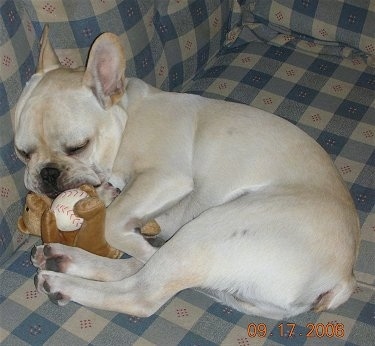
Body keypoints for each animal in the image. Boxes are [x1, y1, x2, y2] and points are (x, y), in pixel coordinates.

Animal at [12, 27, 362, 318]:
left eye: (78, 147)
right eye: (22, 153)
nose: (47, 174)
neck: (127, 116)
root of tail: (343, 280)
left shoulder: (164, 178)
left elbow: (113, 222)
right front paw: (106, 197)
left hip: (211, 230)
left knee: (141, 289)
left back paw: (63, 280)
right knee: (141, 269)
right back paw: (62, 257)